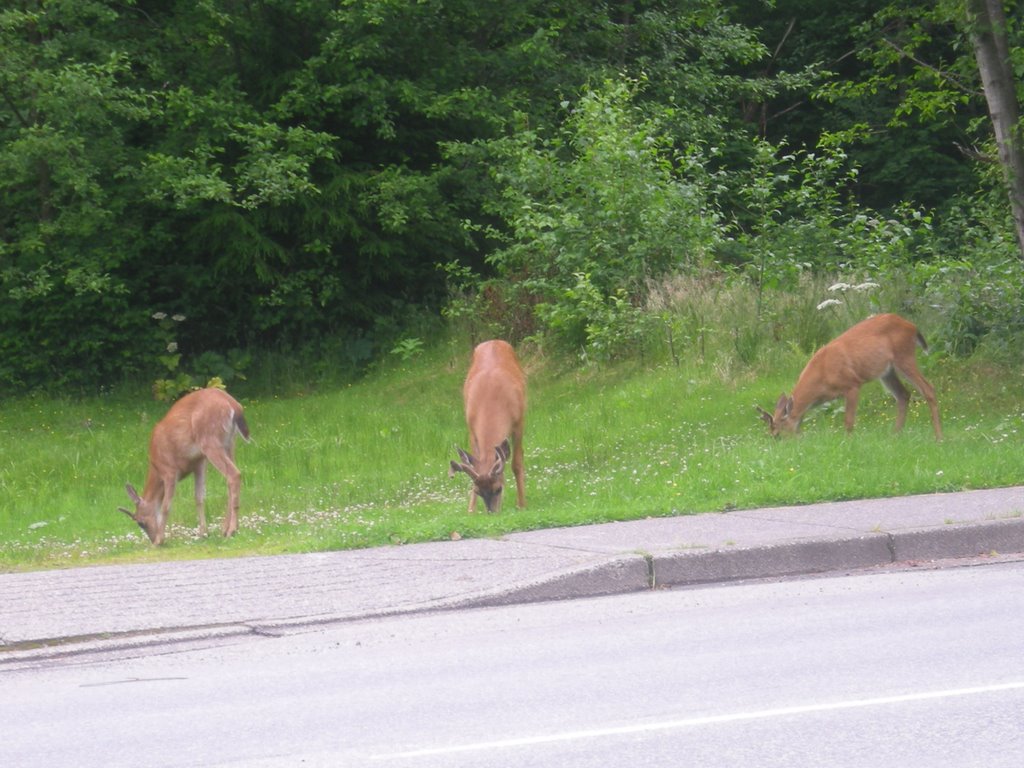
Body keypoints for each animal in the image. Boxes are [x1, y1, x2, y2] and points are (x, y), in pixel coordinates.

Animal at [116, 391, 249, 548]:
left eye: (140, 522)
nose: (152, 539)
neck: (156, 467)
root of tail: (233, 404)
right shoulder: (199, 462)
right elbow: (199, 497)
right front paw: (203, 533)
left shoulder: (169, 471)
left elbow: (166, 506)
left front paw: (159, 541)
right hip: (229, 442)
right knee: (230, 478)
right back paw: (226, 528)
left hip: (210, 440)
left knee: (234, 474)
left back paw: (231, 530)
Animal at [448, 339, 528, 514]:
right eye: (478, 491)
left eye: (498, 488)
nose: (492, 513)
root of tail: (494, 340)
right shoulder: (471, 428)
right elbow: (473, 462)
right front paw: (471, 510)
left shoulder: (518, 423)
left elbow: (517, 464)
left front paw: (521, 504)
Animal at [753, 313, 942, 444]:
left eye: (777, 434)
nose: (781, 445)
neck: (821, 377)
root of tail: (912, 326)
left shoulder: (852, 384)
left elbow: (849, 421)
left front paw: (848, 443)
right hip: (886, 371)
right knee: (903, 395)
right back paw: (894, 436)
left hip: (904, 357)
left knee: (928, 388)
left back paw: (939, 438)